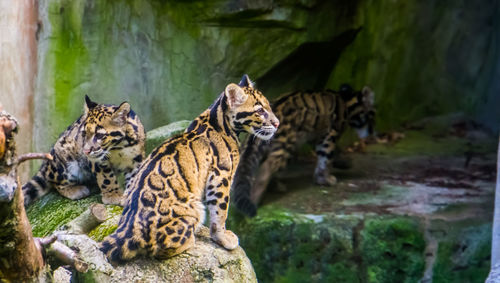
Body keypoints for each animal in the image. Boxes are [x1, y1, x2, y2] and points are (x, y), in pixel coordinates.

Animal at [99, 75, 280, 264]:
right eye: (260, 111)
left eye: (268, 107)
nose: (277, 123)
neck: (217, 118)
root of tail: (129, 230)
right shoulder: (220, 176)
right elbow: (220, 211)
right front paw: (224, 238)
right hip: (195, 209)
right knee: (159, 252)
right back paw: (190, 240)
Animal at [232, 85, 374, 216]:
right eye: (373, 114)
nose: (373, 133)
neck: (346, 100)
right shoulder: (330, 135)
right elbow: (326, 157)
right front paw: (324, 179)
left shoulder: (318, 135)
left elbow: (333, 153)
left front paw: (344, 162)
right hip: (287, 144)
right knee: (268, 166)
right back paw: (256, 197)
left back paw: (274, 186)